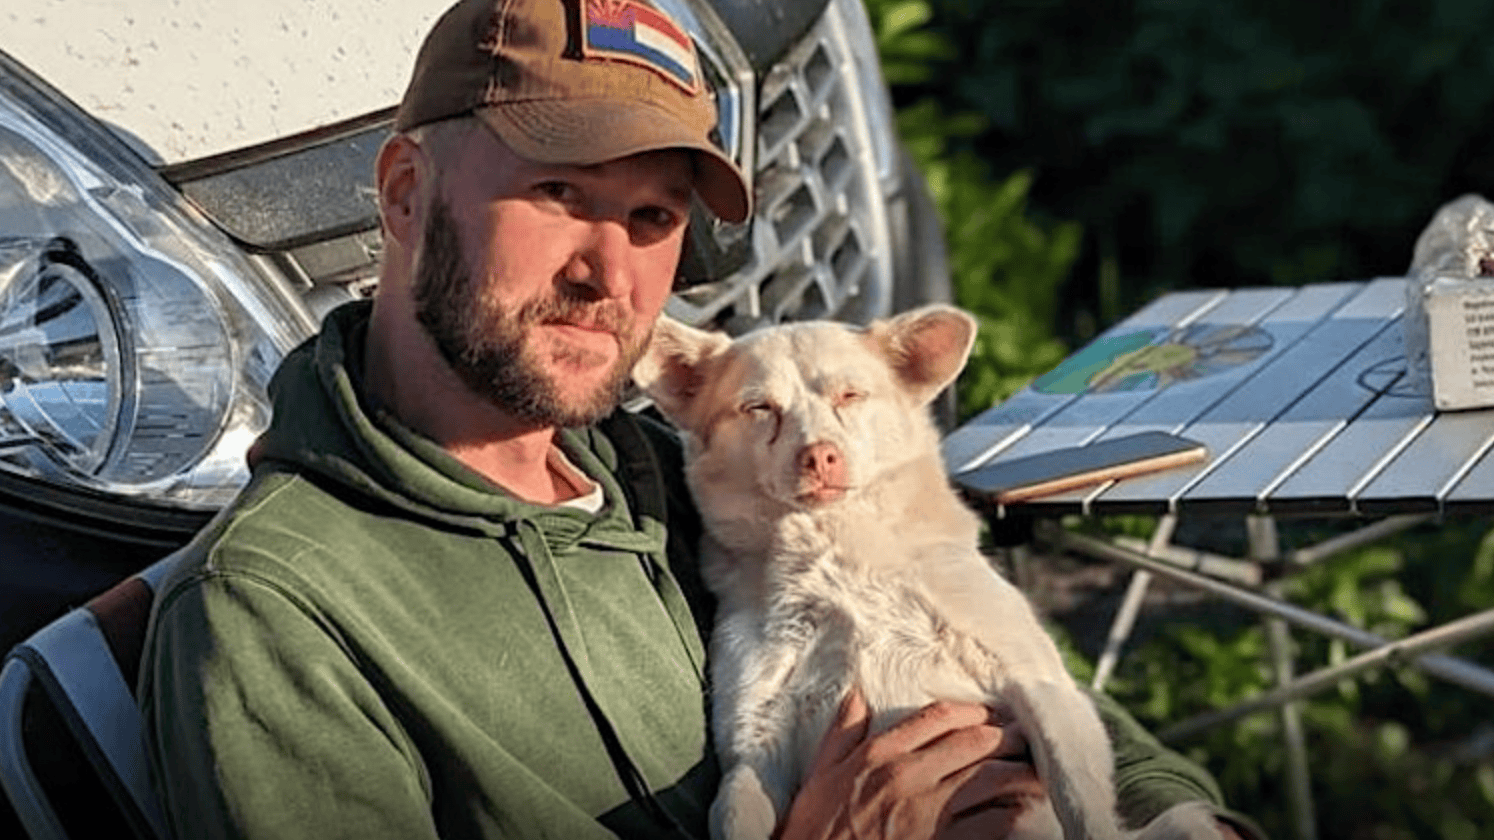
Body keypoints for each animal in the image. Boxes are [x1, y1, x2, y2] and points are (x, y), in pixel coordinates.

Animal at [630, 306, 1225, 837]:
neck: (836, 557)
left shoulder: (1046, 689)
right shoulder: (755, 743)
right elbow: (733, 813)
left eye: (850, 396)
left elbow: (1080, 804)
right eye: (759, 408)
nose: (819, 456)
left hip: (1181, 822)